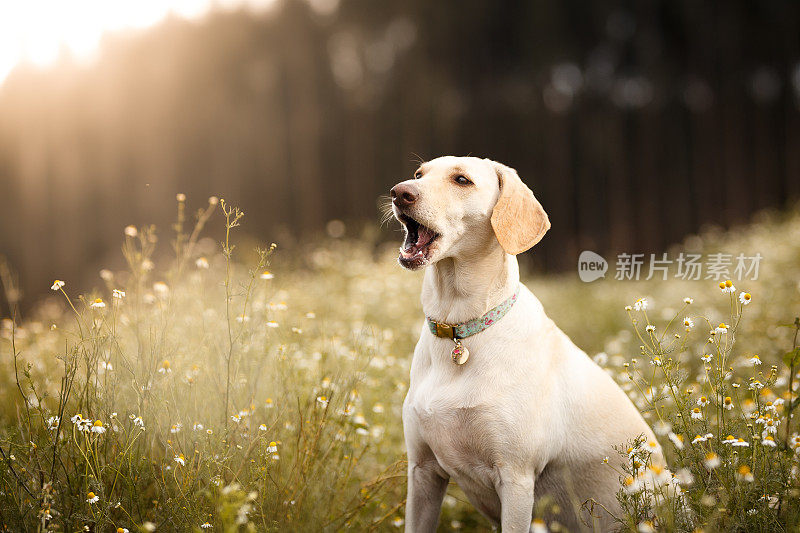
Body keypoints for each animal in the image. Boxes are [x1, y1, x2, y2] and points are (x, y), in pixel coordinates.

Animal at [390, 157, 660, 532]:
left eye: (462, 180)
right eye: (418, 175)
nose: (398, 192)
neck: (460, 329)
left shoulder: (516, 479)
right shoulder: (423, 472)